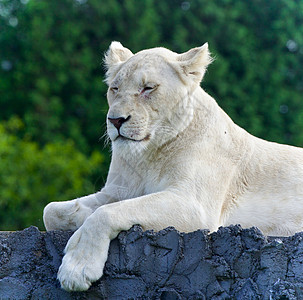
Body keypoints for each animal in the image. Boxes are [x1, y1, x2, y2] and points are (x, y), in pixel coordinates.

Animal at [42, 42, 303, 290]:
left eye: (148, 88)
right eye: (114, 88)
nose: (115, 120)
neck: (148, 154)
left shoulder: (195, 206)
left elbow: (106, 213)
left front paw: (77, 269)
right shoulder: (117, 190)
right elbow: (51, 210)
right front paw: (80, 218)